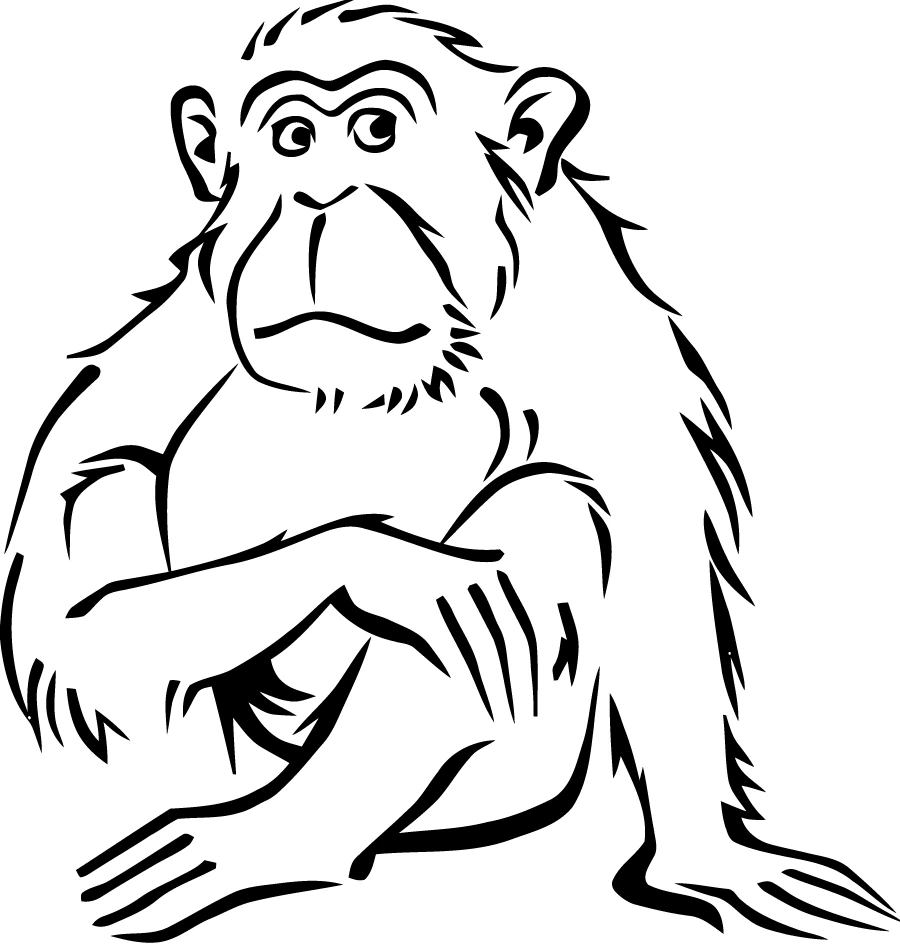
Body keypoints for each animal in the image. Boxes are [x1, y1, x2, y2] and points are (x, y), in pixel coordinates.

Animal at [1, 3, 894, 940]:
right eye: (293, 138)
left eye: (375, 130)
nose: (318, 196)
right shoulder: (185, 321)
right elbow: (64, 606)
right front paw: (384, 561)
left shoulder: (601, 323)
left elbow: (652, 569)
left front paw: (708, 858)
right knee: (114, 498)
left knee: (547, 512)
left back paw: (278, 842)